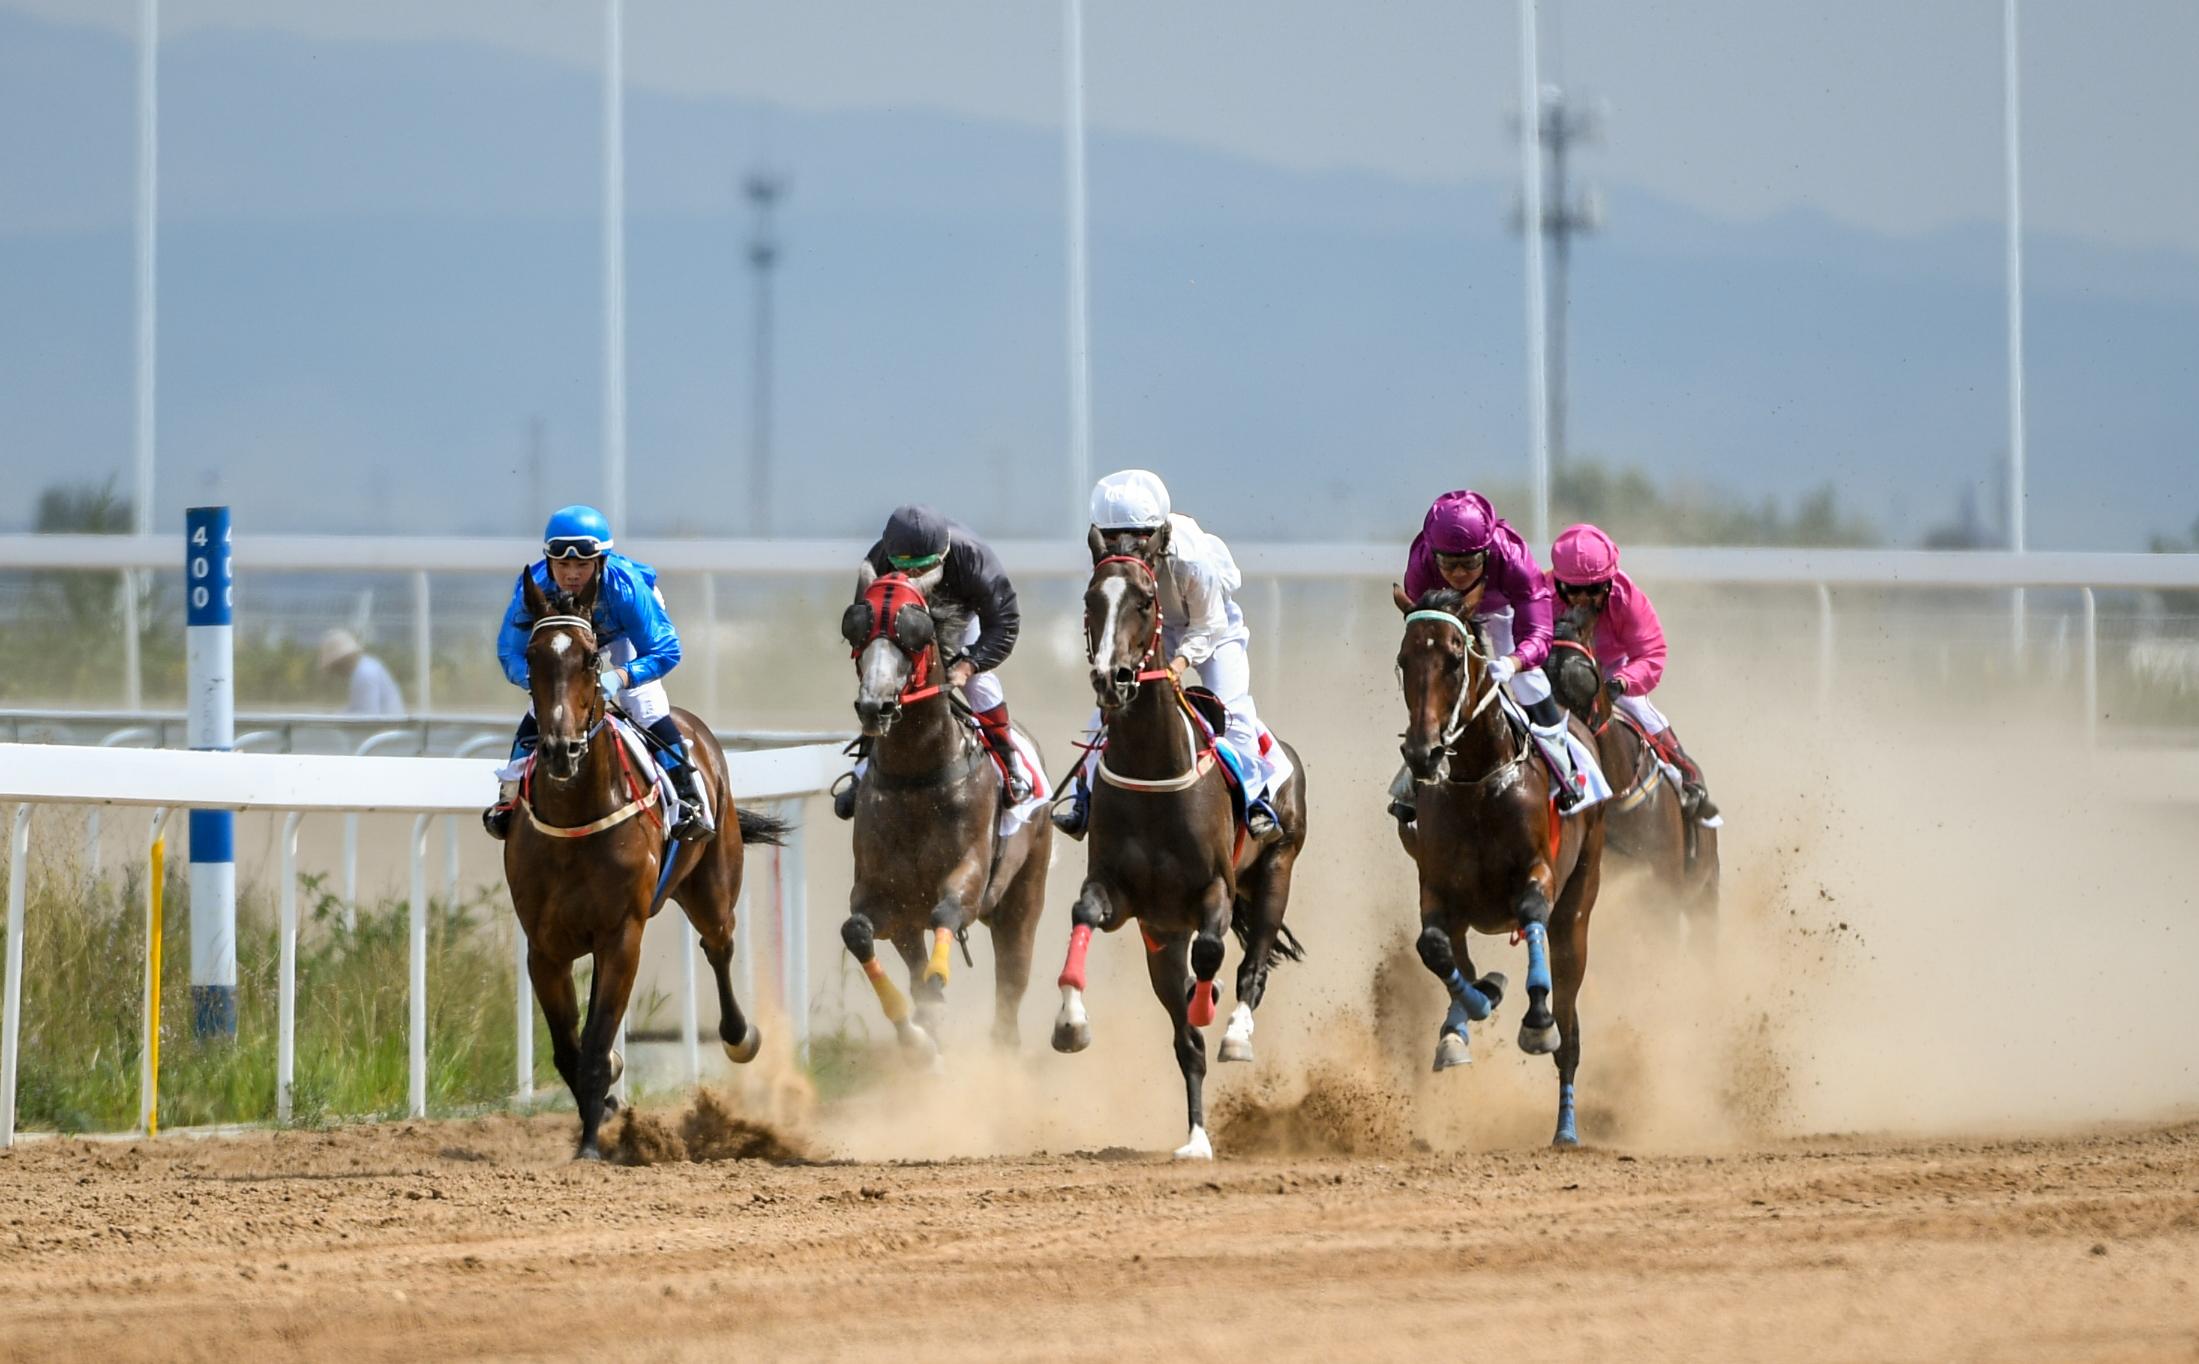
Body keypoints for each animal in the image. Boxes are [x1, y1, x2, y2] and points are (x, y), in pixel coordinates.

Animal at [503, 572, 787, 1152]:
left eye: (591, 659)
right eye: (532, 655)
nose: (560, 750)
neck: (576, 820)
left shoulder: (622, 935)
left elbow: (594, 1042)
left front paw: (591, 1143)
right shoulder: (544, 946)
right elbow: (569, 1048)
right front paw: (605, 1107)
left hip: (713, 886)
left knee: (718, 946)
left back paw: (741, 1036)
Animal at [835, 563, 1051, 1064]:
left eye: (915, 631)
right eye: (857, 626)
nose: (875, 705)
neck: (917, 777)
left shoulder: (968, 875)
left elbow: (948, 913)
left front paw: (936, 994)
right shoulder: (884, 895)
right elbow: (857, 931)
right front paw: (915, 1032)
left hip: (1023, 895)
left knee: (1012, 981)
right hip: (909, 922)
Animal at [1046, 521, 1301, 1161]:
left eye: (1143, 600)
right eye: (1090, 599)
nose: (1111, 678)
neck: (1153, 767)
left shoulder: (1215, 890)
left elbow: (1212, 953)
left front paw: (1207, 1003)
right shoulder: (1124, 899)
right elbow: (1082, 914)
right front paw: (1071, 1023)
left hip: (1277, 869)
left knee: (1252, 967)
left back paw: (1234, 1032)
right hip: (1160, 933)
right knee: (1187, 1044)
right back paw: (1195, 1137)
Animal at [1398, 580, 1609, 1144]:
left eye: (1454, 661)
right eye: (1404, 660)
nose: (1423, 754)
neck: (1478, 780)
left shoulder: (1538, 873)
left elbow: (1532, 913)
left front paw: (1535, 1022)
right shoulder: (1437, 889)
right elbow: (1434, 949)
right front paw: (1474, 1008)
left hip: (1579, 907)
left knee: (1571, 1027)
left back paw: (1566, 1128)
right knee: (1459, 960)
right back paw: (1461, 1022)